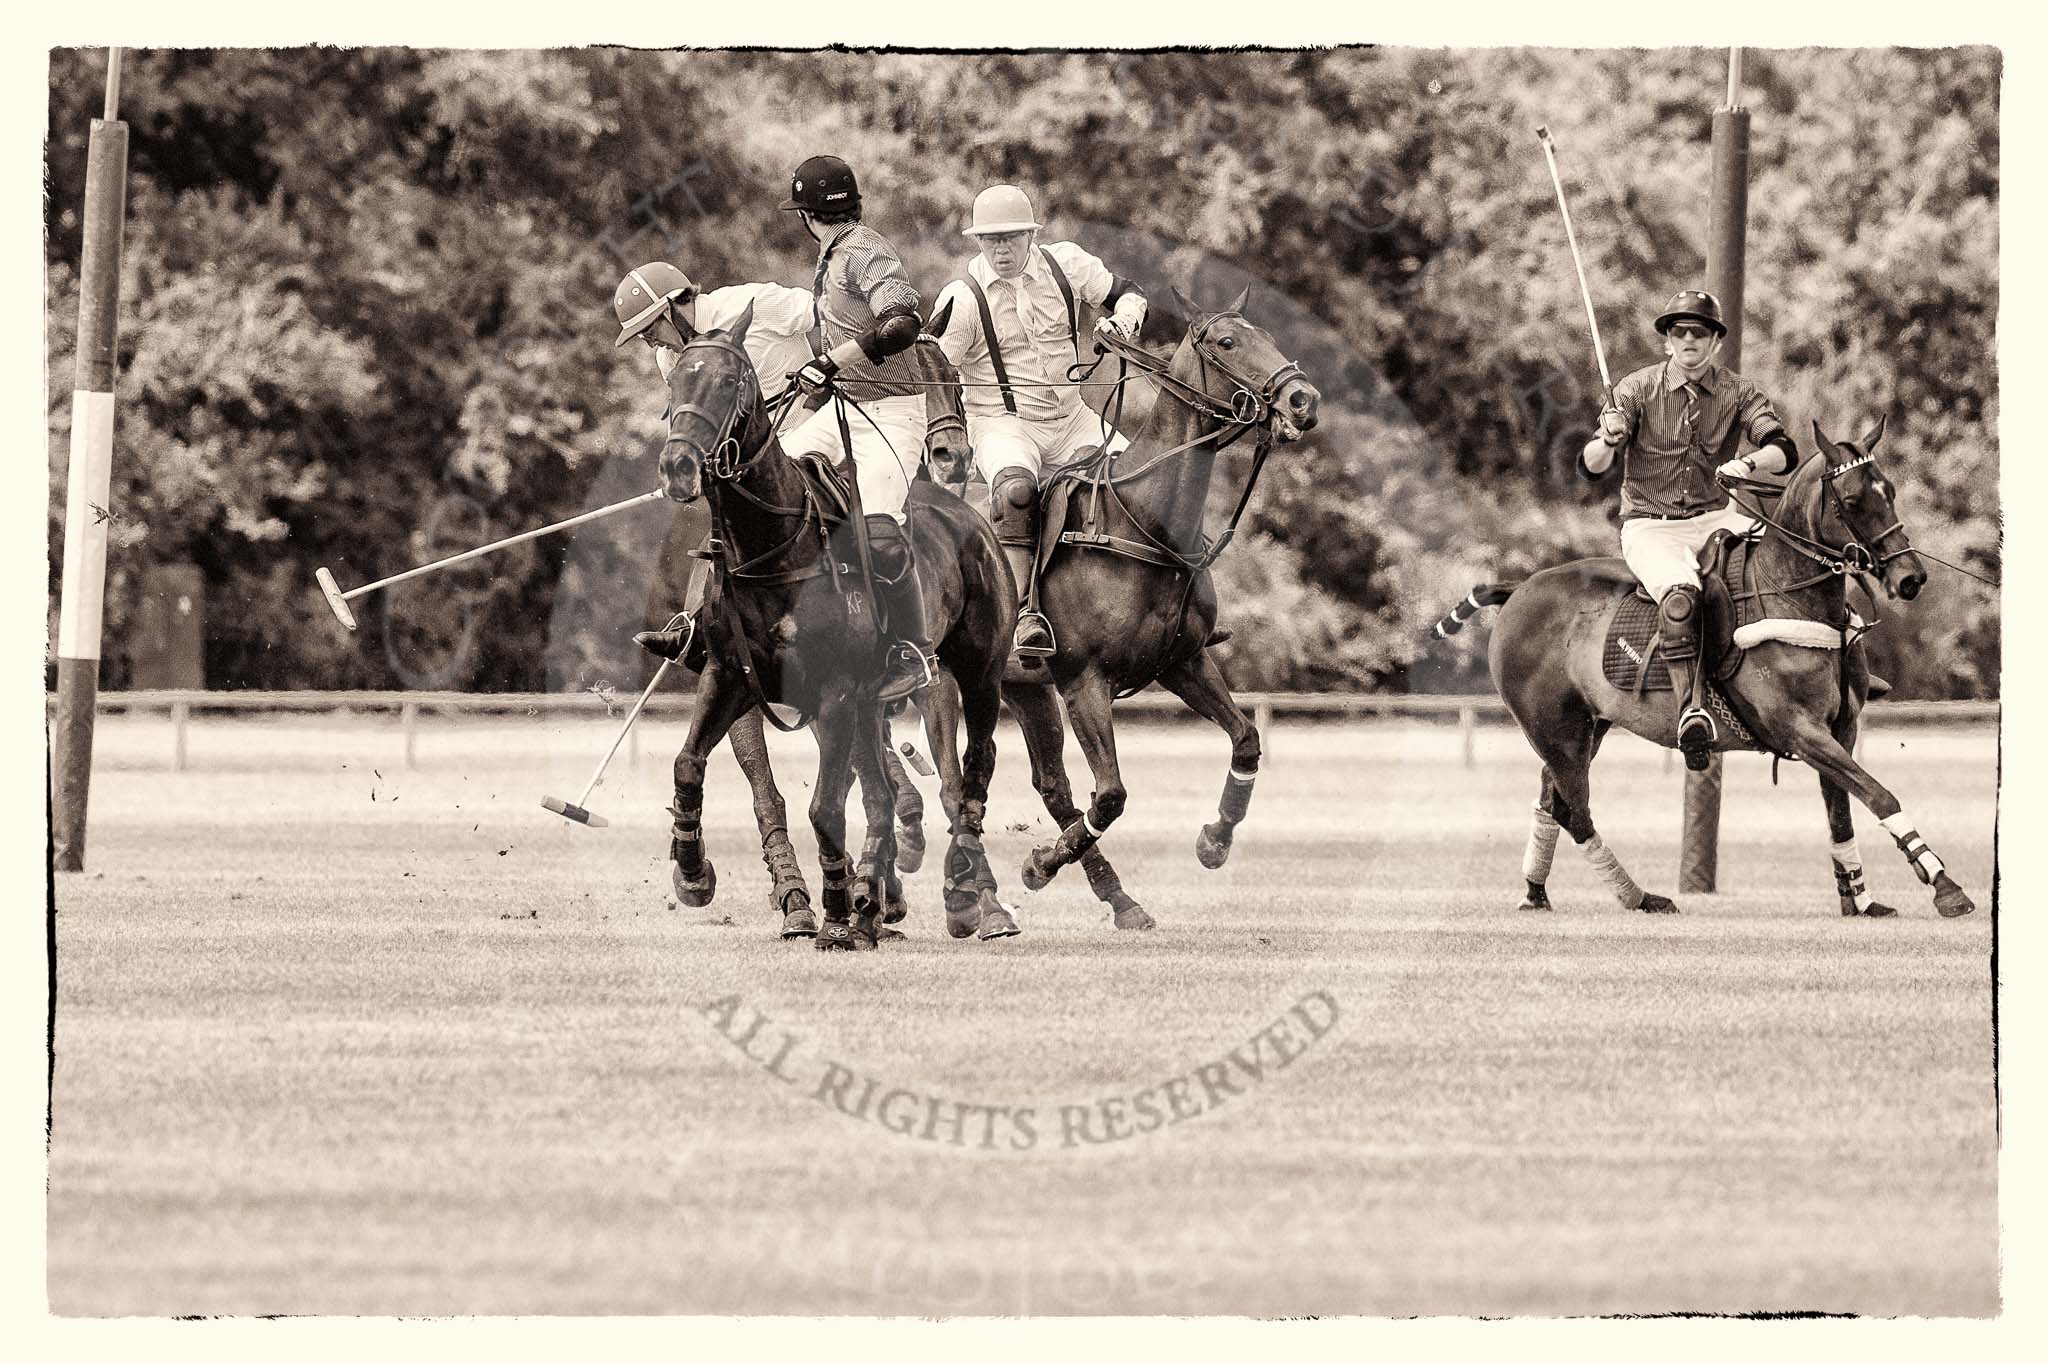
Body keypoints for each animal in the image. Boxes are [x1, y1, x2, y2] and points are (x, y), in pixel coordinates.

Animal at [655, 306, 1015, 949]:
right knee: (882, 792)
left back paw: (974, 899)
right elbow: (688, 765)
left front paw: (836, 913)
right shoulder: (728, 676)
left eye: (730, 381)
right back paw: (876, 901)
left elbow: (827, 806)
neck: (771, 550)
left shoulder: (838, 692)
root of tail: (970, 516)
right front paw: (694, 872)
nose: (677, 467)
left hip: (973, 676)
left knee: (970, 771)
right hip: (876, 702)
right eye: (674, 382)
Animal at [974, 290, 1327, 929]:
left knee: (1050, 783)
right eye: (1227, 343)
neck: (1145, 524)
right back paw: (983, 907)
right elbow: (1111, 793)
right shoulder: (1084, 681)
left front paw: (1215, 841)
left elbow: (1246, 739)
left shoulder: (1182, 662)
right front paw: (1040, 862)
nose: (1302, 400)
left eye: (1264, 334)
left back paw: (1118, 899)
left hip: (1023, 687)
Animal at [1433, 419, 1974, 916]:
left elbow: (1842, 810)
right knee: (1576, 810)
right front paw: (1945, 885)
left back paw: (1536, 893)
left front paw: (1858, 898)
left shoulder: (1841, 727)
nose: (1910, 578)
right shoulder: (1800, 730)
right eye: (1853, 499)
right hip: (1554, 729)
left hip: (1588, 725)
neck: (1791, 593)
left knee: (1552, 800)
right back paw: (1638, 896)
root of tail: (1517, 591)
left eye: (1892, 491)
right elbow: (1879, 796)